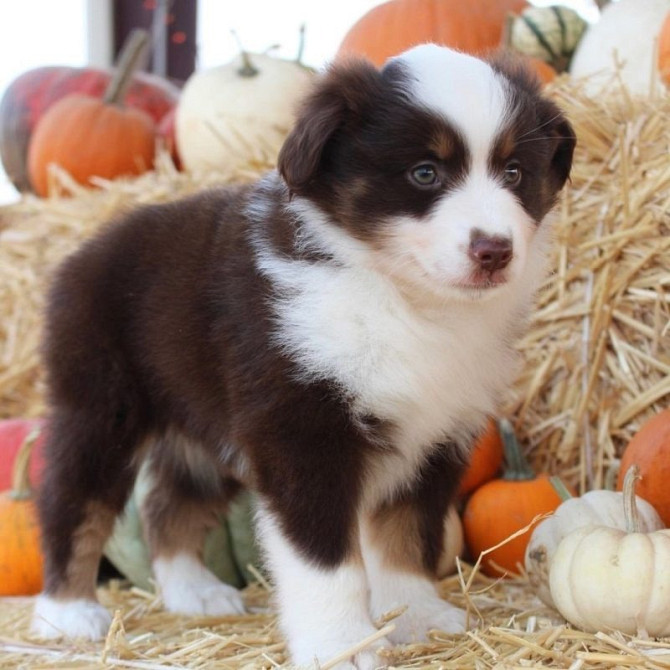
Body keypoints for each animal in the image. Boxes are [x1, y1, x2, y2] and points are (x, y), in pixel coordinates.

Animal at [32, 44, 576, 668]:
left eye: (514, 172)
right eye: (424, 173)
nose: (494, 250)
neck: (399, 298)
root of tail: (85, 251)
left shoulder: (436, 432)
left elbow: (408, 532)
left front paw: (417, 616)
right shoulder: (301, 425)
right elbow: (325, 560)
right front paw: (342, 645)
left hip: (201, 422)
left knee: (169, 505)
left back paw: (195, 593)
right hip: (101, 406)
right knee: (74, 503)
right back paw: (67, 612)